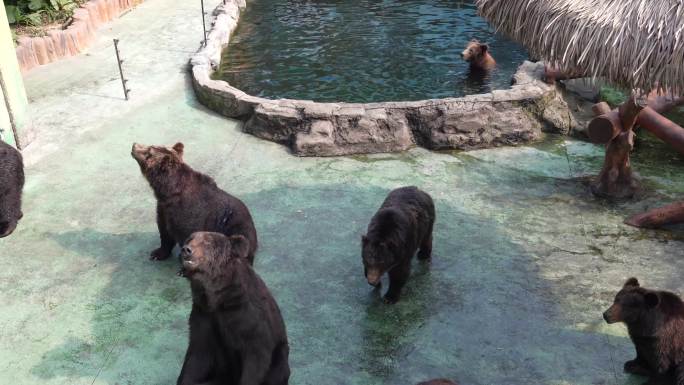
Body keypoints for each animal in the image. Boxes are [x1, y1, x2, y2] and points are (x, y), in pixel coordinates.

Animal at [176, 231, 288, 384]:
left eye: (207, 242)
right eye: (190, 239)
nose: (186, 250)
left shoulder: (248, 317)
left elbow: (256, 355)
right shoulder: (204, 314)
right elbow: (198, 354)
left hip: (280, 355)